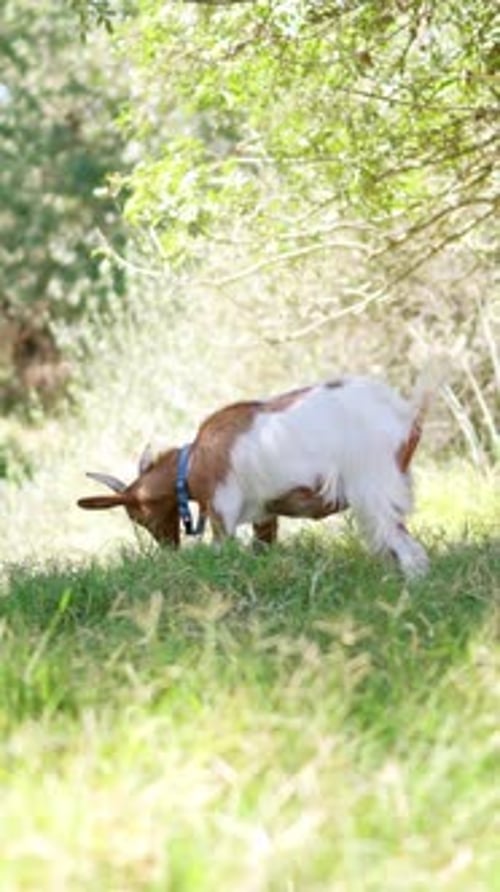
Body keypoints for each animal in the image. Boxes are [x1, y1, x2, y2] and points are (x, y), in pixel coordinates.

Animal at [77, 372, 435, 577]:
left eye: (137, 516)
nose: (168, 547)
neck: (192, 462)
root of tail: (406, 415)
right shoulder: (266, 513)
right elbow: (263, 549)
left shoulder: (223, 510)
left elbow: (222, 551)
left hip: (374, 492)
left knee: (412, 555)